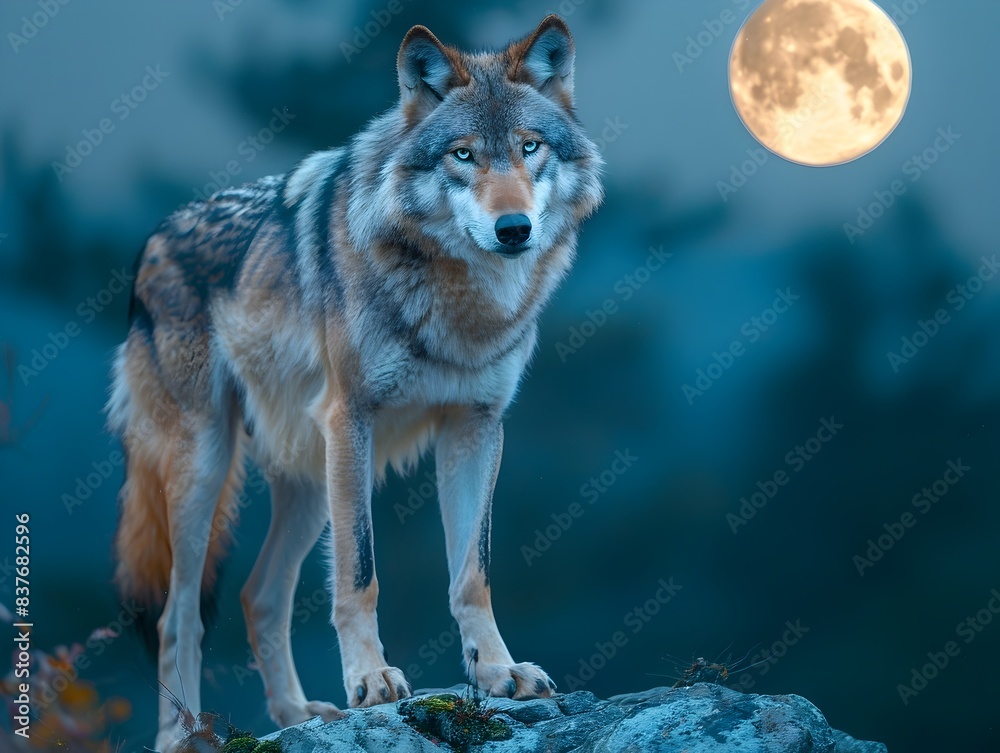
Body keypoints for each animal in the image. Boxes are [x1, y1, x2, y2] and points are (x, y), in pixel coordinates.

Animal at [107, 15, 603, 752]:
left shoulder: (477, 426)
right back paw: (184, 735)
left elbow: (473, 573)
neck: (462, 304)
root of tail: (151, 243)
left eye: (530, 147)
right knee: (178, 614)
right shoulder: (353, 418)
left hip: (313, 480)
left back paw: (298, 716)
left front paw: (498, 671)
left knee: (259, 595)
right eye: (462, 155)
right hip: (208, 468)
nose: (513, 228)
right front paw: (371, 682)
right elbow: (360, 575)